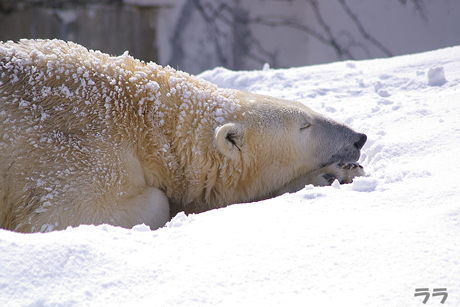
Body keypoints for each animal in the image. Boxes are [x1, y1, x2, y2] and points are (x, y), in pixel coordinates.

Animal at [0, 40, 366, 233]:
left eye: (308, 110)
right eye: (305, 125)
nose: (359, 138)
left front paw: (336, 174)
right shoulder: (73, 151)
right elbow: (61, 217)